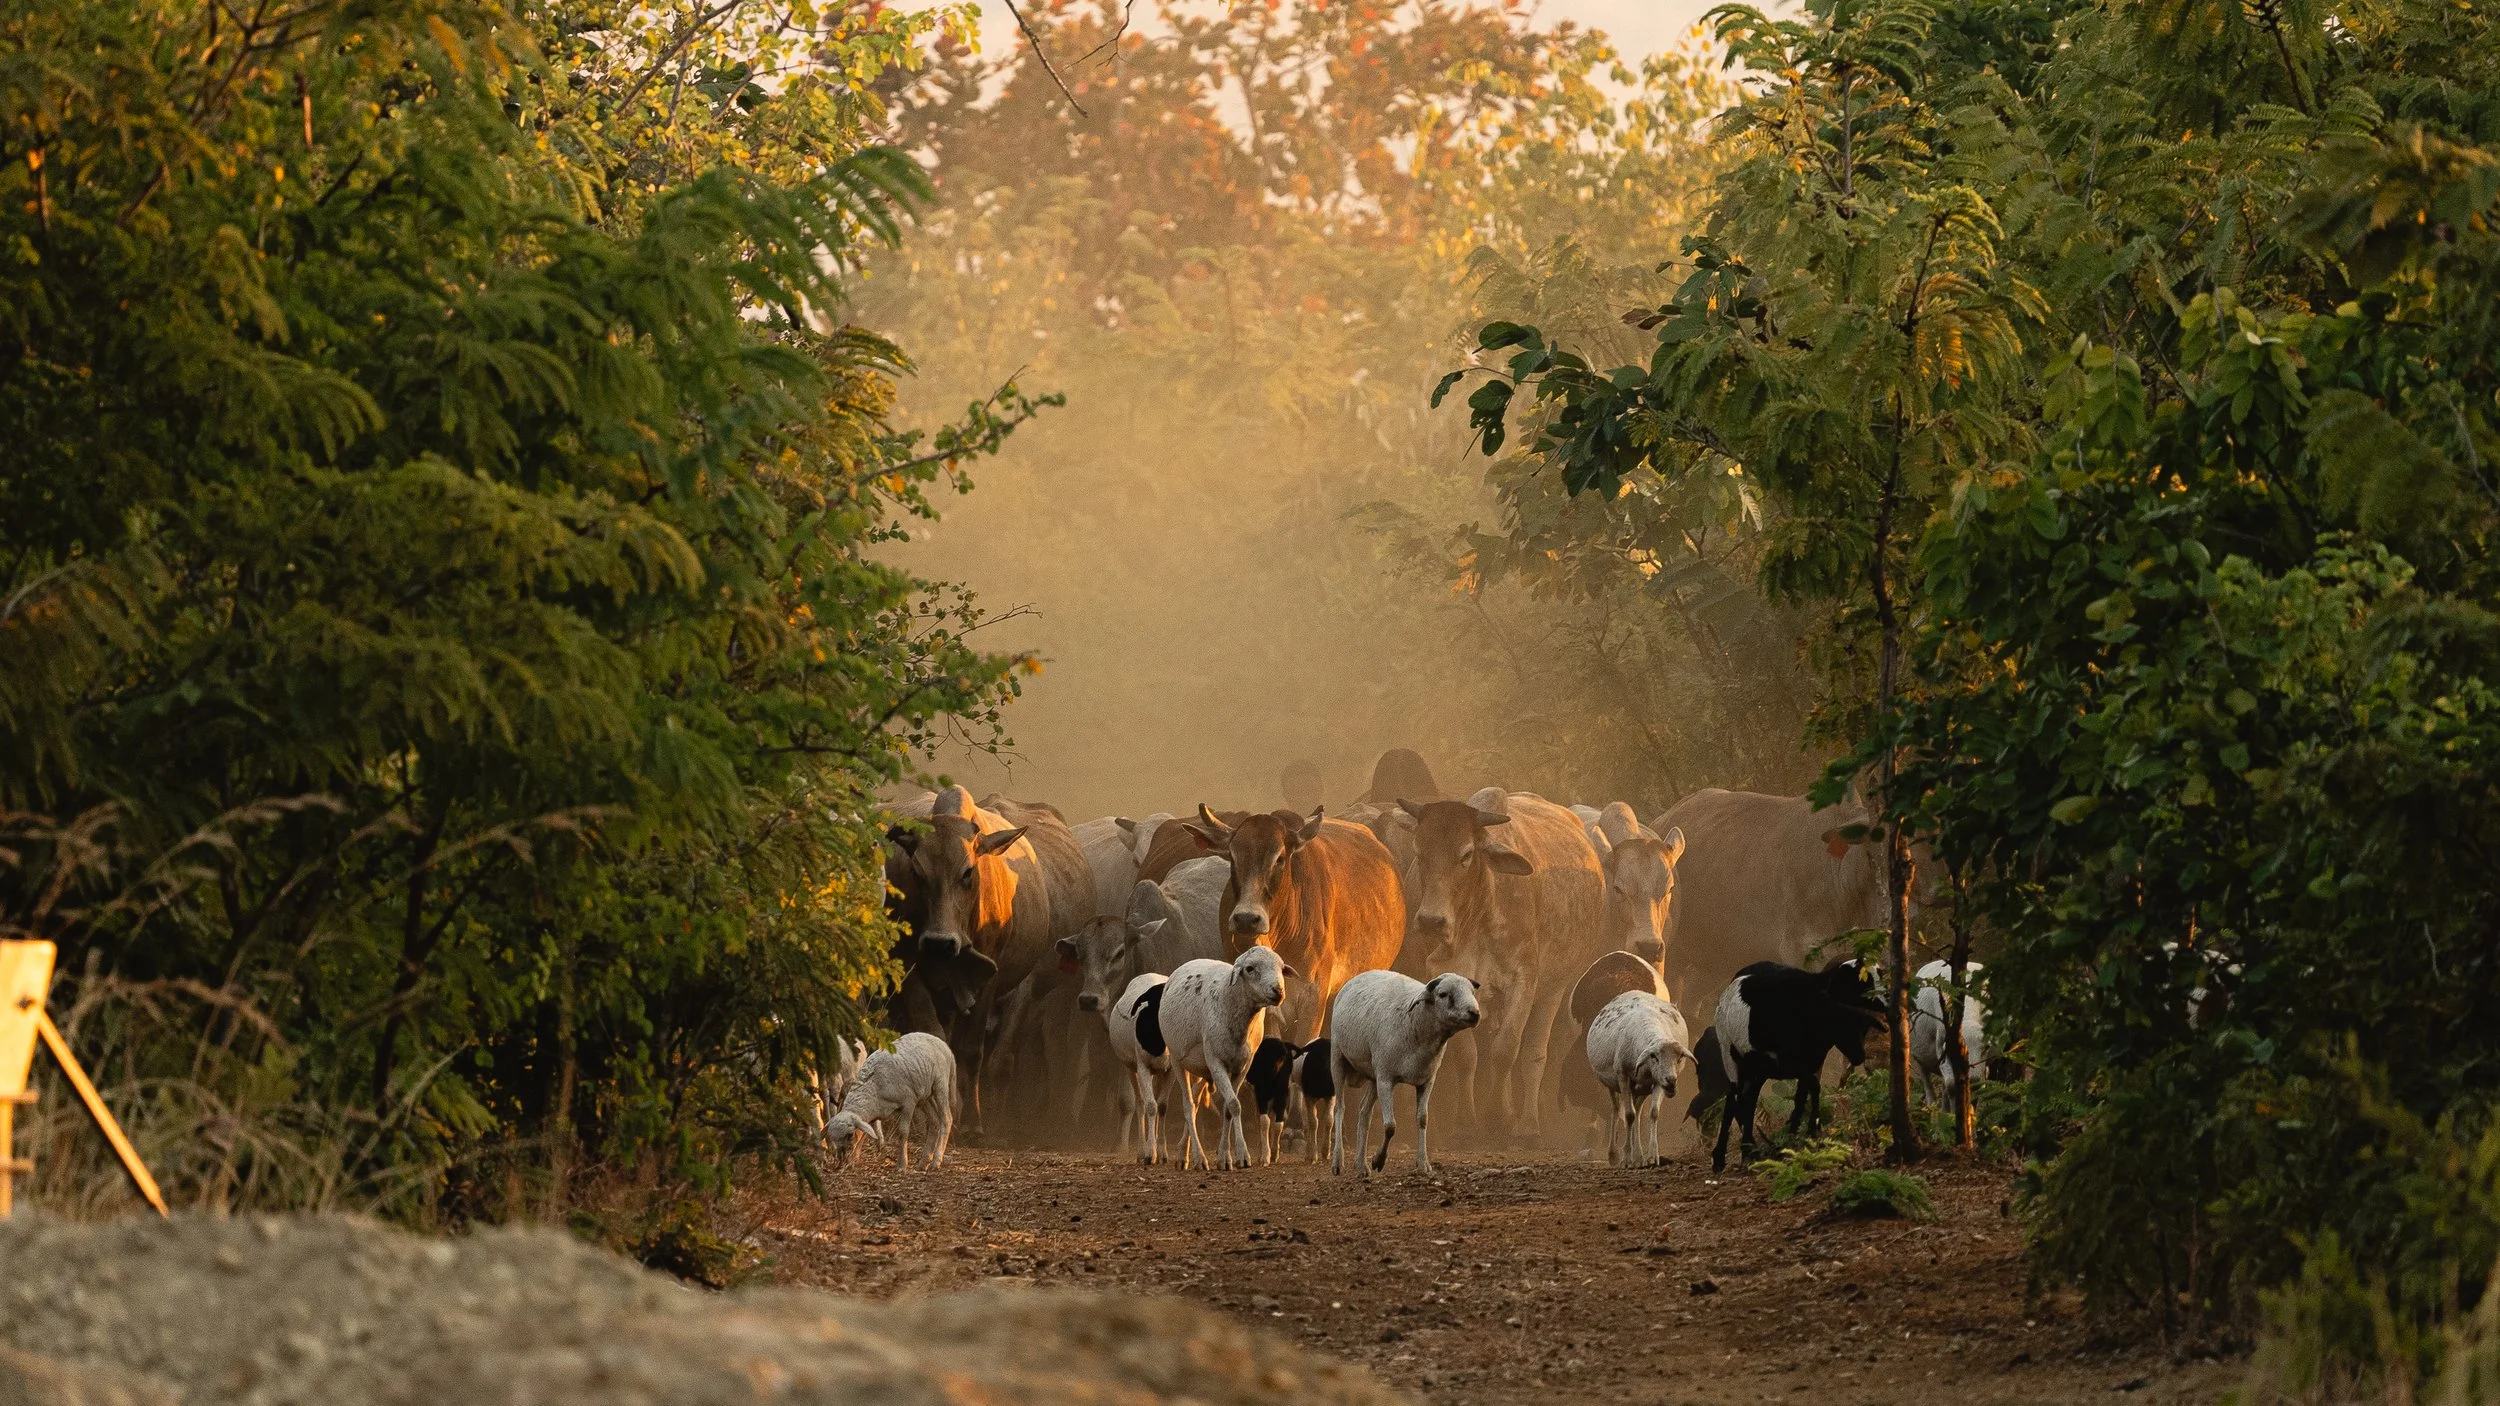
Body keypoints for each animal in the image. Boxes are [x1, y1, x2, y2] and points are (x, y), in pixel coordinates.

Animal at [1397, 791, 1607, 1141]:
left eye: (1467, 854)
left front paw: (1498, 1117)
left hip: (1554, 989)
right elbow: (1467, 1055)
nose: (1430, 920)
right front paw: (1467, 1123)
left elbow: (1506, 1049)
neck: (1478, 917)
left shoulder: (1523, 980)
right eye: (1419, 851)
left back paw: (1528, 1125)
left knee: (1533, 1054)